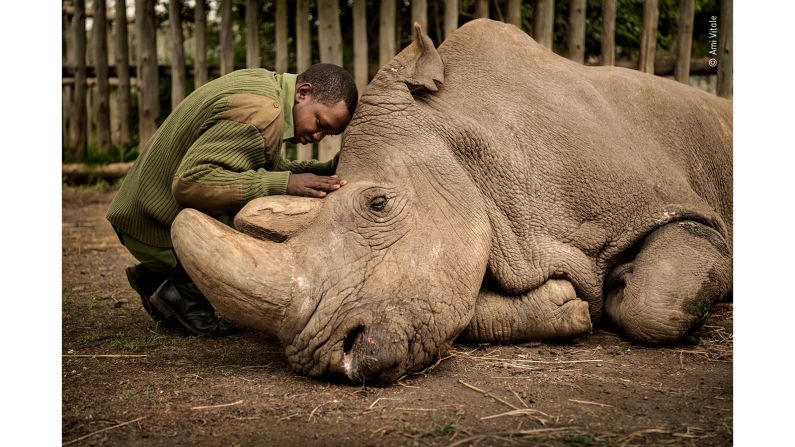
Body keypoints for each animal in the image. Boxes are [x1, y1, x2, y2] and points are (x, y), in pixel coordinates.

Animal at [169, 20, 732, 384]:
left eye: (378, 204)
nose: (331, 358)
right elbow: (461, 306)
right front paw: (566, 306)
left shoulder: (674, 207)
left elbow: (655, 302)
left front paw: (621, 286)